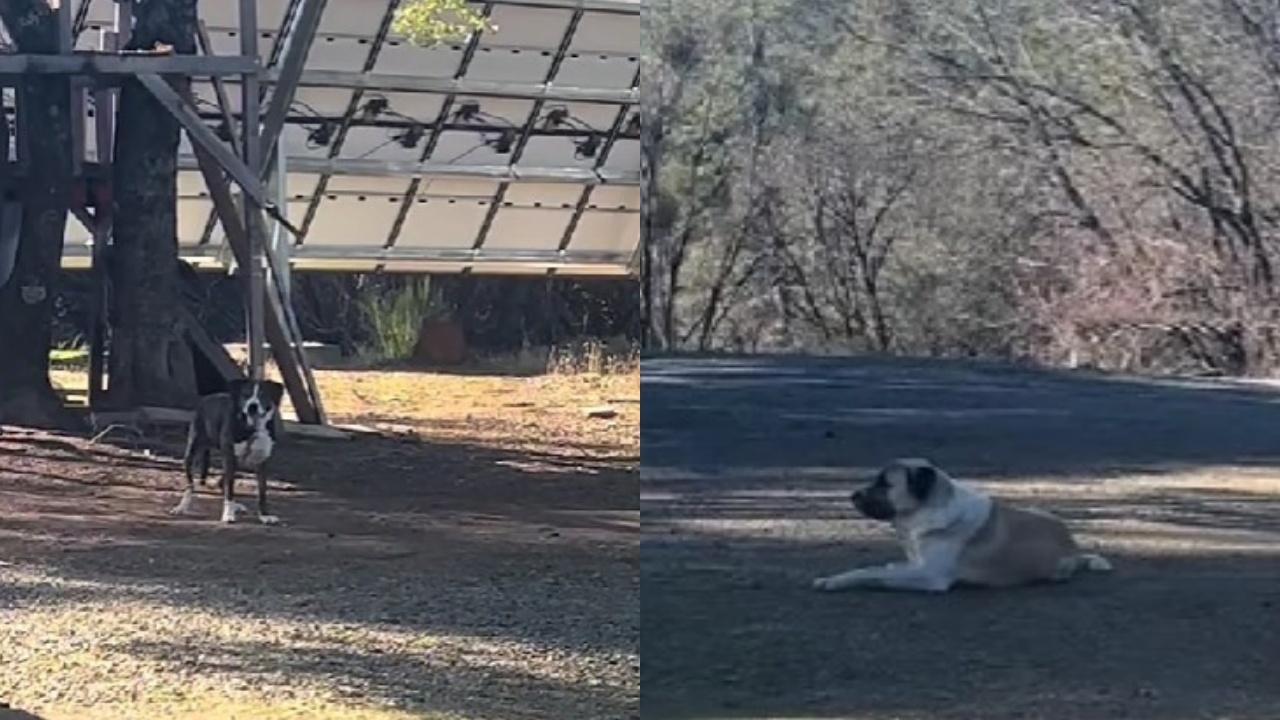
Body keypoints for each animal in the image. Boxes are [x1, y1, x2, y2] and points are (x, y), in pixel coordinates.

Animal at [168, 379, 284, 525]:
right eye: (245, 394)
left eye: (263, 395)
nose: (252, 406)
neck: (252, 429)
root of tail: (208, 397)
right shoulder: (230, 458)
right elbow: (230, 491)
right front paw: (228, 515)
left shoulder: (261, 461)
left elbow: (262, 493)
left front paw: (265, 515)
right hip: (192, 452)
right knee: (190, 486)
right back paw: (182, 507)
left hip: (236, 462)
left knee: (221, 482)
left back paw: (236, 506)